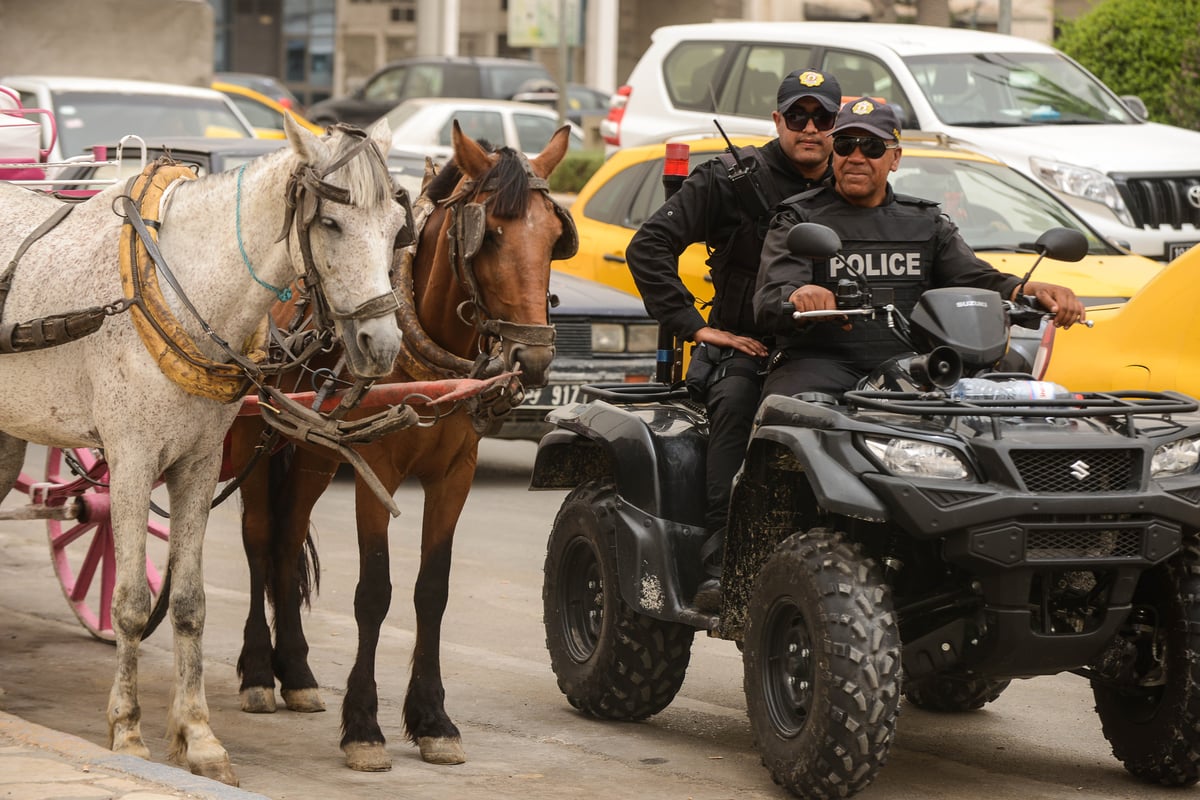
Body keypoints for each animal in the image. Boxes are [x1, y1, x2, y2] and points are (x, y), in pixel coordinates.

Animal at [0, 115, 405, 786]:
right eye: (330, 223)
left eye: (399, 228)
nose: (382, 344)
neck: (177, 287)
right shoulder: (132, 461)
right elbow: (131, 602)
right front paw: (128, 731)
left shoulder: (196, 464)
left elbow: (189, 604)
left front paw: (198, 738)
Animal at [228, 125, 576, 767]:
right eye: (489, 234)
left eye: (552, 236)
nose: (534, 357)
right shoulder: (377, 472)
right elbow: (374, 592)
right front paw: (364, 726)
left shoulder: (455, 475)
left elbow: (431, 591)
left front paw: (434, 719)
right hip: (250, 441)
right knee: (260, 540)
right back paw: (261, 673)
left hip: (314, 456)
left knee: (287, 540)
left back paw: (297, 673)